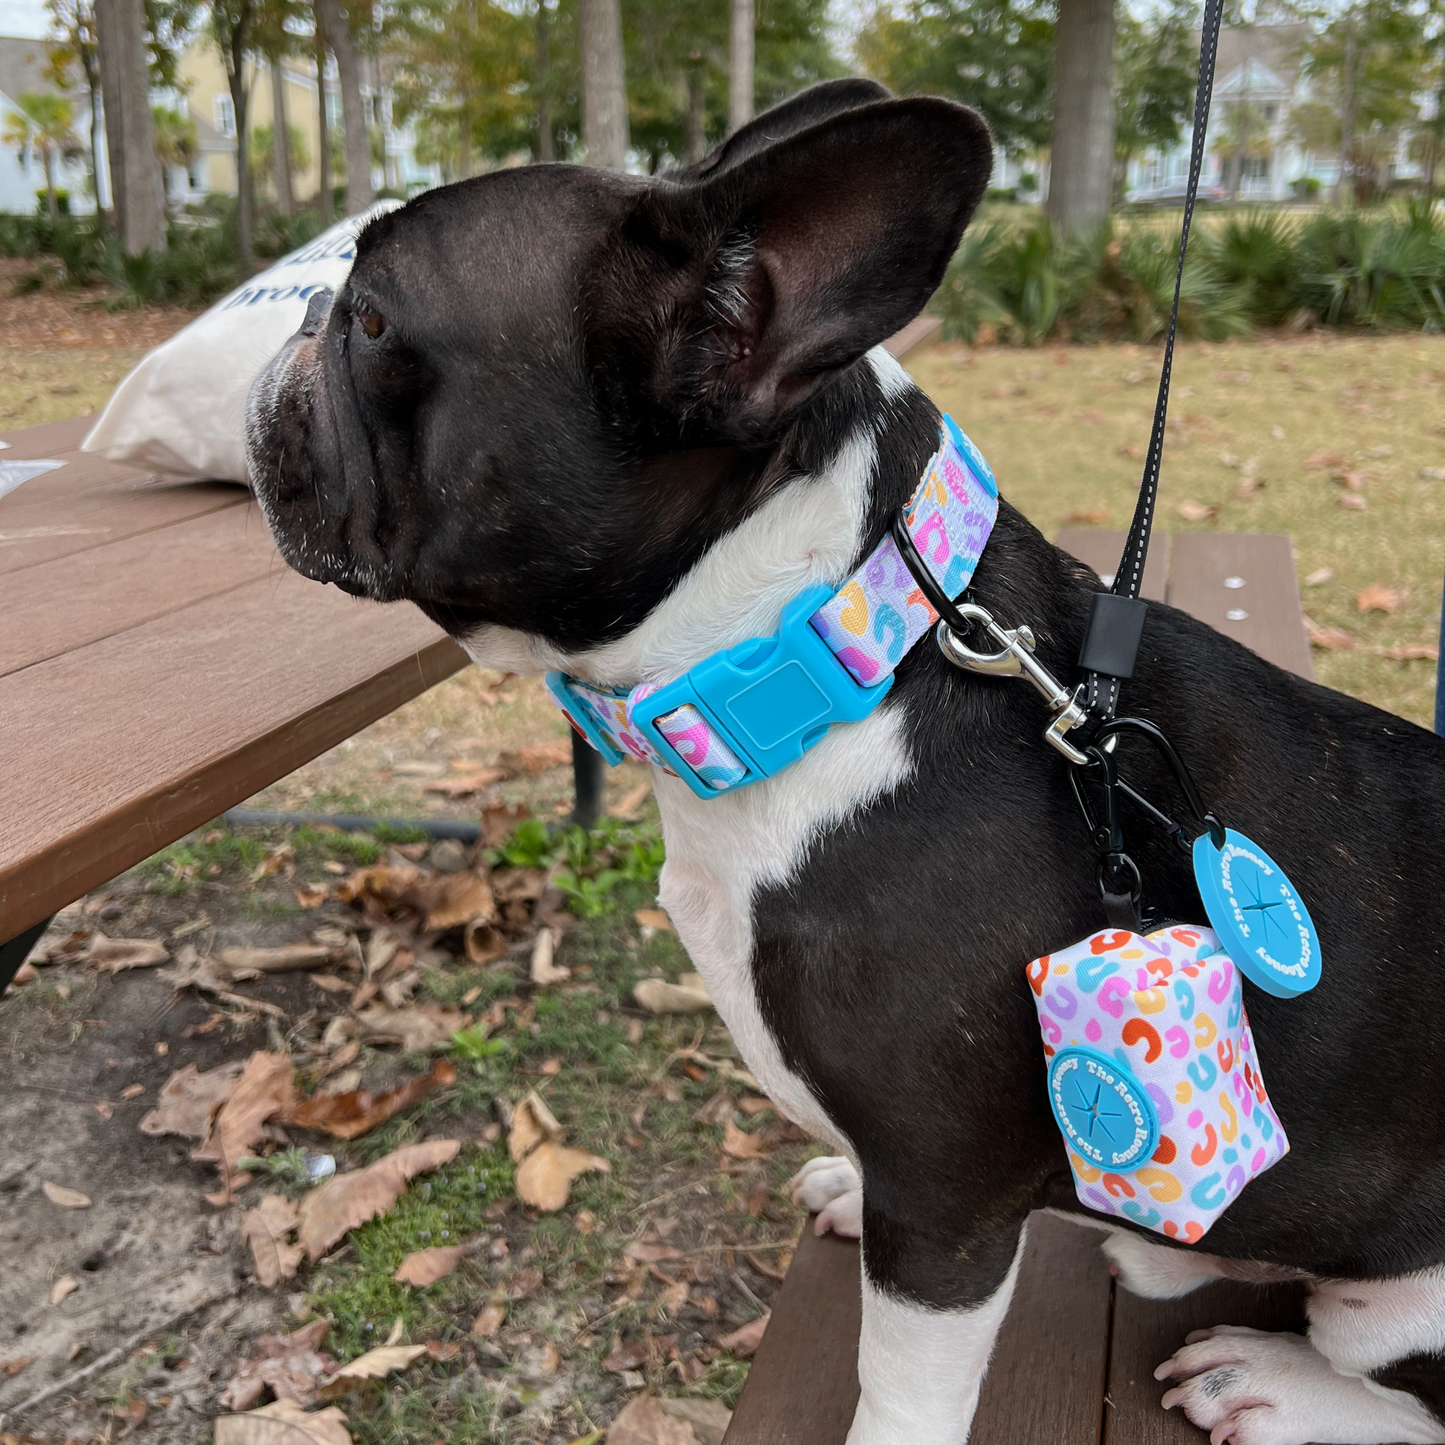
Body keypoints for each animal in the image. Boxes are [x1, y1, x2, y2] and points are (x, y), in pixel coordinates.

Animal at [242, 82, 1445, 1445]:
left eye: (371, 316)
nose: (288, 336)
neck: (824, 655)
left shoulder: (939, 1209)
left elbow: (898, 1392)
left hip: (1398, 1298)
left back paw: (1273, 1378)